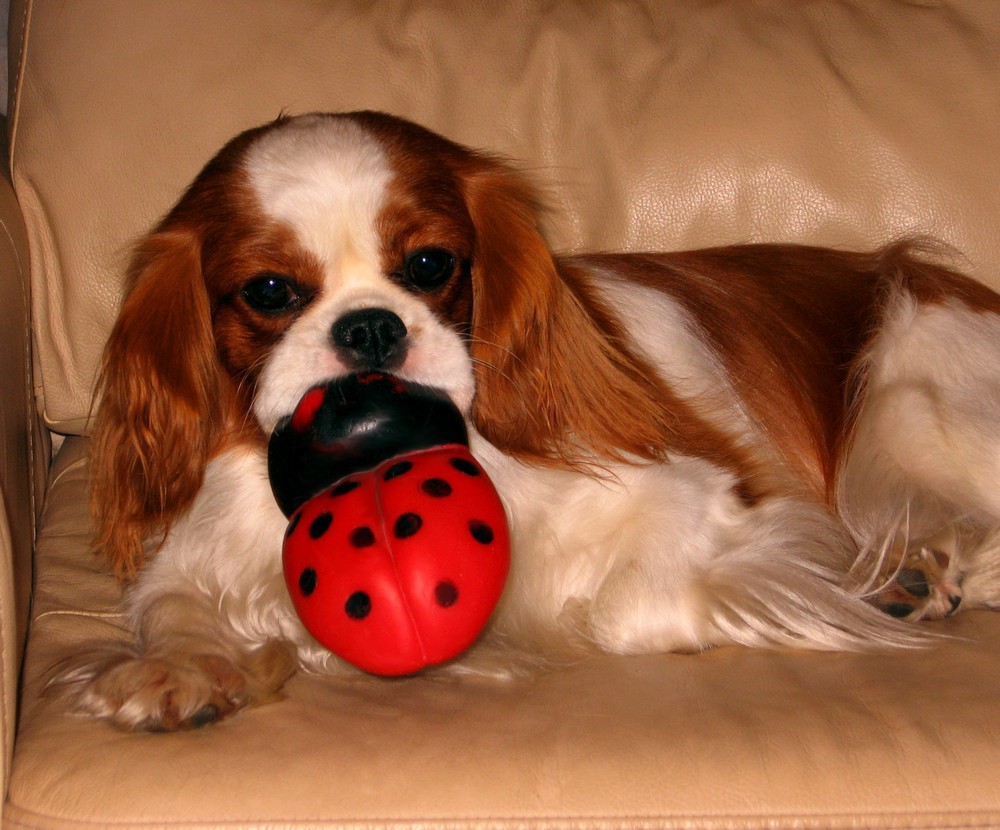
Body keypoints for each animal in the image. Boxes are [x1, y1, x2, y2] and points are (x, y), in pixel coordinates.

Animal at [52, 112, 1000, 736]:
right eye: (271, 291)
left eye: (431, 264)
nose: (370, 327)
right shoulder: (197, 551)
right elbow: (169, 603)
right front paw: (181, 669)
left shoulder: (706, 501)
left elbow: (620, 608)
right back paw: (911, 572)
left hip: (909, 385)